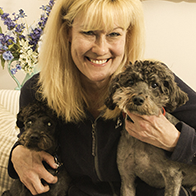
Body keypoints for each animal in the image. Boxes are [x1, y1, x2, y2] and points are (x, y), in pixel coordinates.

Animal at [104, 59, 196, 196]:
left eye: (154, 85)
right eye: (130, 81)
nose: (137, 99)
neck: (140, 142)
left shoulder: (173, 176)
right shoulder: (126, 178)